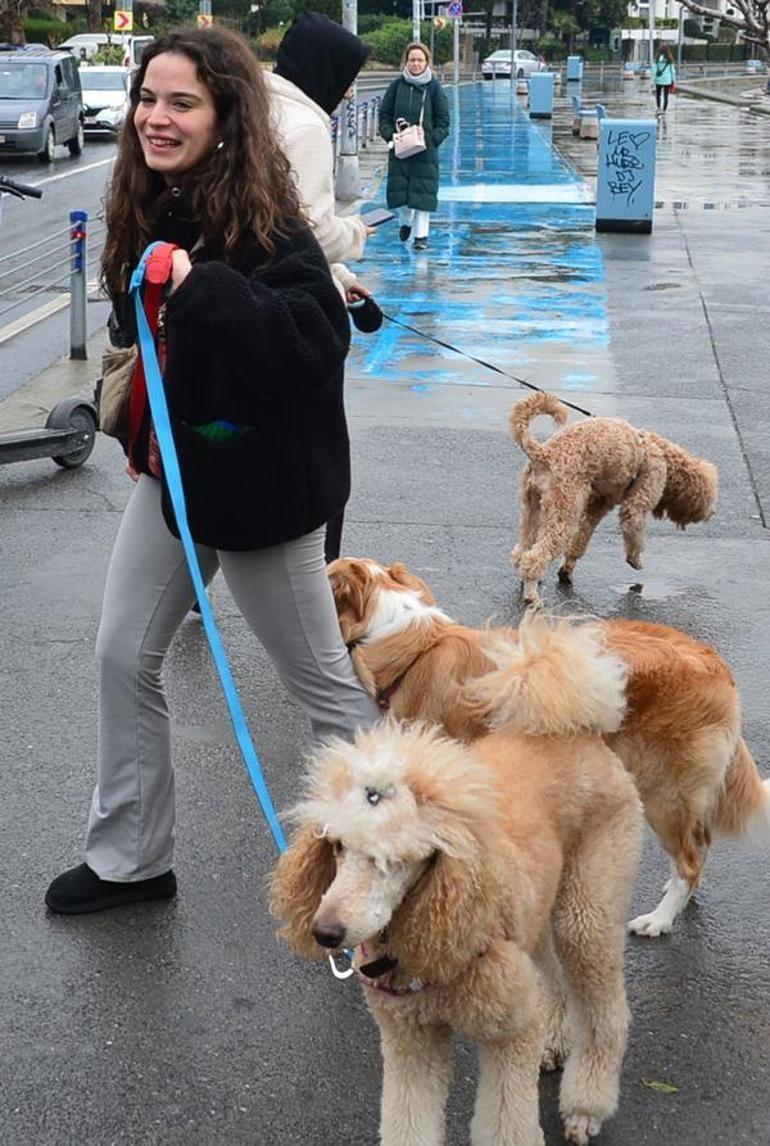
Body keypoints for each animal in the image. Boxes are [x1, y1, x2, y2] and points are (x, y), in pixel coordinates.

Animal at [270, 618, 641, 1146]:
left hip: (587, 909)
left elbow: (506, 1123)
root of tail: (574, 731)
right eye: (337, 845)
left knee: (606, 1010)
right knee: (553, 976)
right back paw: (554, 1041)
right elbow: (409, 1122)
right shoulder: (411, 1041)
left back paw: (586, 1104)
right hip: (540, 910)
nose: (326, 932)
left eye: (393, 859)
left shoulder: (510, 1035)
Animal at [325, 554, 770, 939]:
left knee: (690, 860)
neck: (408, 643)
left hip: (664, 794)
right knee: (700, 845)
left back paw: (659, 919)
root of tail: (716, 665)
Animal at [508, 391, 719, 609]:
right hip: (563, 512)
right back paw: (532, 595)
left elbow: (580, 541)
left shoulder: (597, 505)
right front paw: (635, 560)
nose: (712, 513)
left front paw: (567, 569)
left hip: (533, 508)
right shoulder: (636, 505)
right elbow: (634, 534)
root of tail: (544, 454)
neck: (663, 455)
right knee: (534, 558)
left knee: (521, 552)